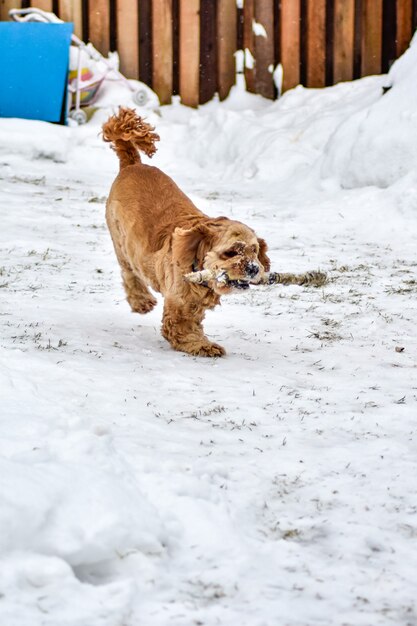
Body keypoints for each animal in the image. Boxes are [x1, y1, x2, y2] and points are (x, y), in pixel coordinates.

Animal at [101, 107, 270, 356]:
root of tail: (132, 164)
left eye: (254, 251)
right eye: (231, 252)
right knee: (129, 272)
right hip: (121, 242)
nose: (253, 268)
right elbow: (181, 328)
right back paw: (141, 301)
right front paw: (204, 345)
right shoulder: (180, 304)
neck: (195, 255)